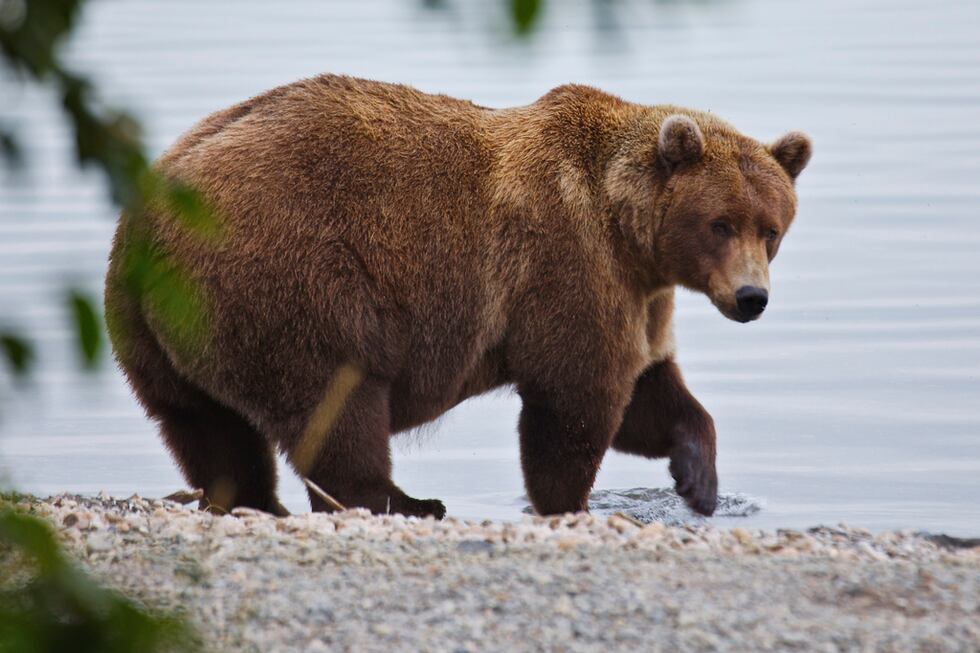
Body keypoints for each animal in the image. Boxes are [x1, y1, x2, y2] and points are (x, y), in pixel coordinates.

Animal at [104, 75, 811, 519]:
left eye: (771, 228)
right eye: (720, 224)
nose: (751, 297)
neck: (628, 232)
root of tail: (151, 213)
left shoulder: (641, 297)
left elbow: (650, 392)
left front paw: (699, 481)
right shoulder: (569, 266)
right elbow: (577, 399)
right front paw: (568, 501)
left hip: (156, 329)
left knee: (205, 425)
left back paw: (252, 498)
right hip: (292, 277)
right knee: (336, 400)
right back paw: (406, 500)